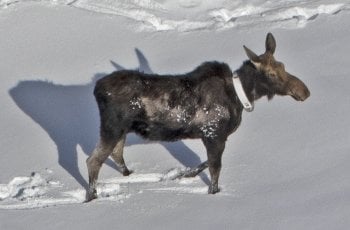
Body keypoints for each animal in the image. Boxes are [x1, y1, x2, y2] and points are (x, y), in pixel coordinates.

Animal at [86, 32, 310, 201]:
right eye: (271, 74)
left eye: (283, 66)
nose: (304, 91)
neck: (241, 97)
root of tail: (97, 89)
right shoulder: (213, 134)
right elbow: (215, 169)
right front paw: (213, 192)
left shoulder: (213, 136)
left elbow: (205, 163)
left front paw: (185, 175)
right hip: (112, 127)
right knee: (93, 160)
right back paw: (91, 197)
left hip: (121, 130)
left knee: (116, 153)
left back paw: (129, 176)